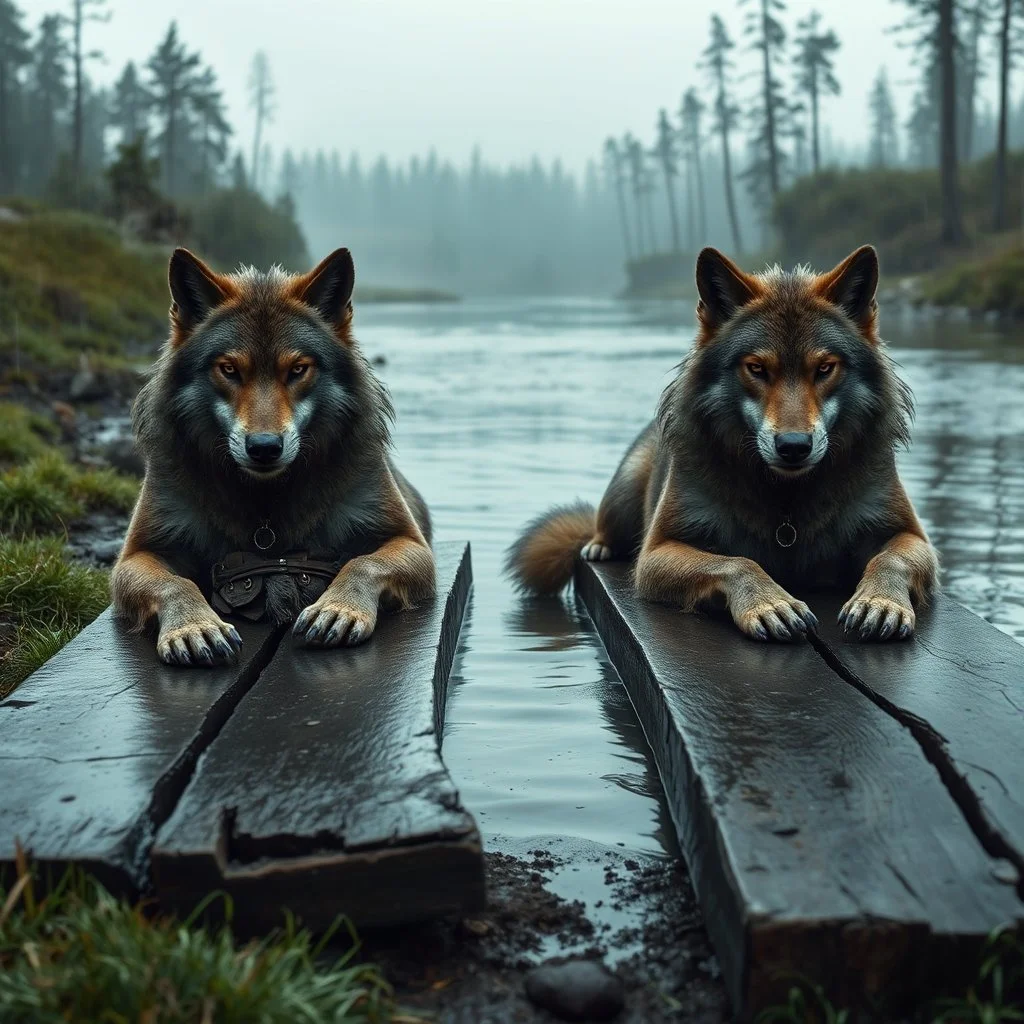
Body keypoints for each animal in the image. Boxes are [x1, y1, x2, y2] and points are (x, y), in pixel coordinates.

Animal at [111, 245, 432, 663]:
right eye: (229, 369)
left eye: (298, 369)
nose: (264, 448)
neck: (267, 501)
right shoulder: (135, 555)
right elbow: (176, 583)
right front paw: (193, 626)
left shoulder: (411, 543)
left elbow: (364, 562)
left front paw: (338, 609)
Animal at [507, 244, 937, 638]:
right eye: (757, 368)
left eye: (825, 368)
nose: (793, 446)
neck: (787, 500)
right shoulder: (657, 552)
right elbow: (736, 562)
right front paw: (770, 603)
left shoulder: (912, 536)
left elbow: (890, 560)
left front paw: (879, 602)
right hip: (625, 491)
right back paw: (598, 545)